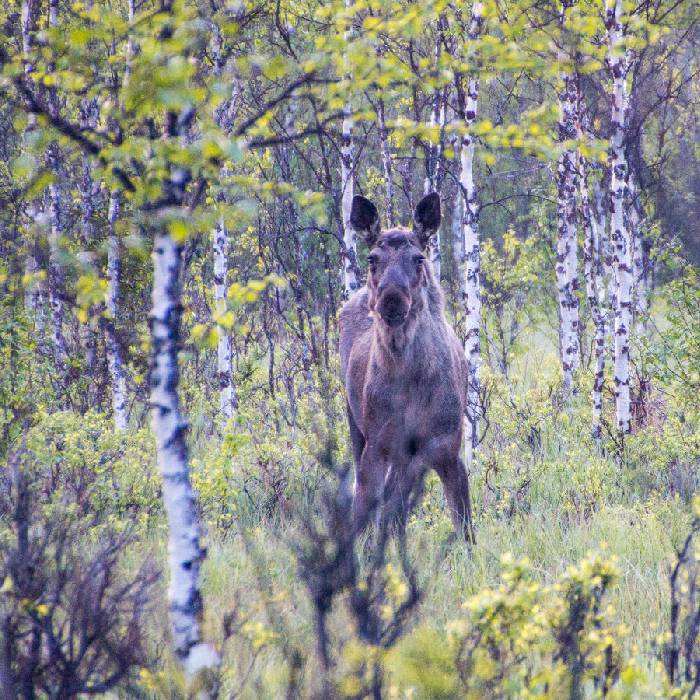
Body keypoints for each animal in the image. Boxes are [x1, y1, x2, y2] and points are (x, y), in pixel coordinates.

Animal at [340, 191, 476, 540]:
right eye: (372, 258)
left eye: (418, 258)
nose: (391, 299)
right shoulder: (379, 445)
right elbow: (361, 517)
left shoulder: (446, 448)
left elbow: (466, 527)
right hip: (356, 425)